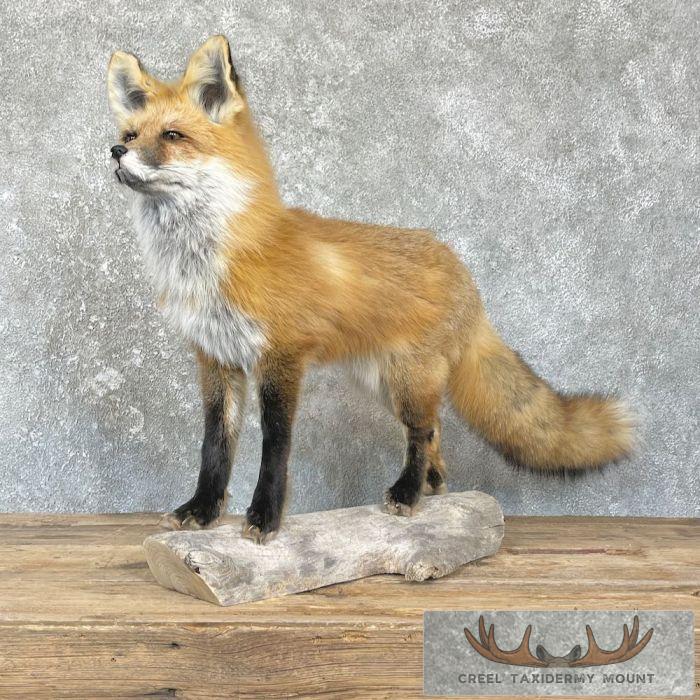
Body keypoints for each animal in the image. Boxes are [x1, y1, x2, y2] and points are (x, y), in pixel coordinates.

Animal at [107, 35, 635, 543]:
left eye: (172, 136)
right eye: (130, 135)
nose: (114, 153)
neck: (213, 261)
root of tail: (461, 269)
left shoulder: (281, 358)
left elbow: (275, 447)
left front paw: (264, 518)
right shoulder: (216, 359)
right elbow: (215, 447)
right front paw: (201, 511)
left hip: (406, 380)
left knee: (422, 432)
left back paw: (407, 492)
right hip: (383, 382)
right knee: (434, 431)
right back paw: (429, 489)